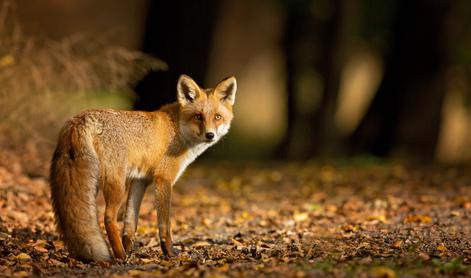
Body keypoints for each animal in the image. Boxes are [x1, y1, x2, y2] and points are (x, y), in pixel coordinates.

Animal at [49, 75, 238, 262]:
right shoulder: (163, 179)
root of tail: (80, 118)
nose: (210, 135)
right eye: (198, 116)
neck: (177, 129)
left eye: (218, 117)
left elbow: (130, 223)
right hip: (116, 186)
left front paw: (130, 249)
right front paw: (168, 252)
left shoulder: (140, 180)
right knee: (108, 218)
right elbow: (165, 224)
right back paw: (120, 256)